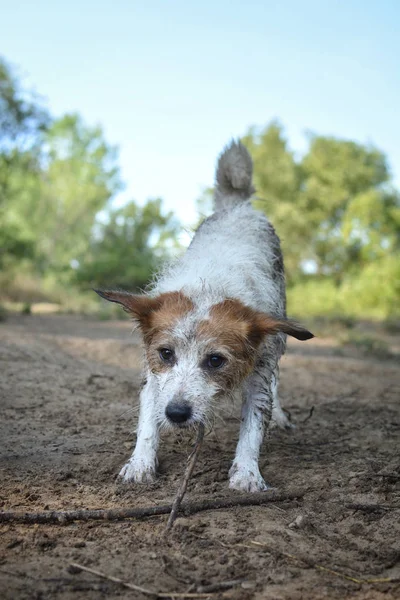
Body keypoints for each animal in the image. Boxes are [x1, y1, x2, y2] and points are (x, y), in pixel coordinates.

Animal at [96, 142, 312, 492]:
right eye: (165, 353)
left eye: (215, 360)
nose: (176, 413)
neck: (210, 286)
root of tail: (237, 206)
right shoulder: (155, 379)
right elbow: (147, 422)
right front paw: (140, 463)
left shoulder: (259, 374)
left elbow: (253, 426)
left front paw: (247, 473)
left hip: (277, 336)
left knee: (277, 383)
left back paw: (280, 416)